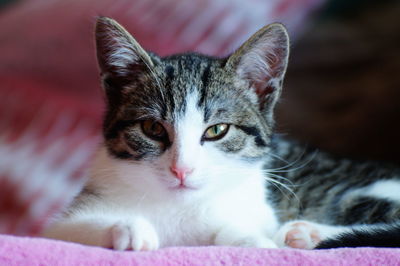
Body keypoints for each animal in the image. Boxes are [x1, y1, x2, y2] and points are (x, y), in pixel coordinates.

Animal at [41, 17, 400, 251]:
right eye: (152, 128)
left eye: (217, 130)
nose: (182, 169)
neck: (181, 209)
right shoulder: (70, 216)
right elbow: (65, 230)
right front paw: (128, 229)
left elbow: (238, 231)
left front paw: (252, 240)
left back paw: (306, 233)